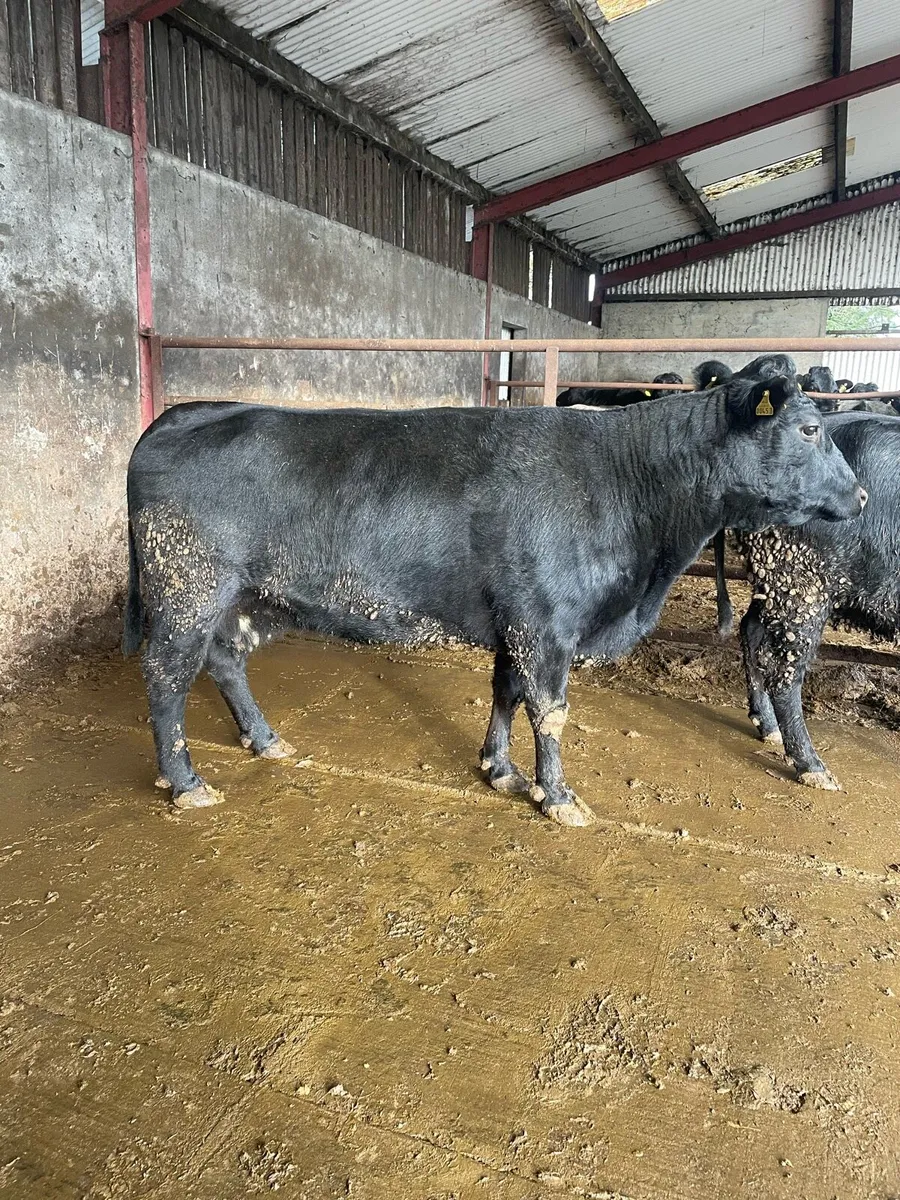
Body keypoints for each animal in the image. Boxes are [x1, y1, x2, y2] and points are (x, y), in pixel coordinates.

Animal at [124, 379, 864, 825]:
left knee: (225, 661)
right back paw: (185, 782)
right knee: (166, 678)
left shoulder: (519, 620)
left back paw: (266, 739)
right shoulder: (545, 625)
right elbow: (550, 711)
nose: (859, 496)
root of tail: (183, 412)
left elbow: (507, 693)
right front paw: (558, 797)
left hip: (243, 598)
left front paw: (500, 769)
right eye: (808, 430)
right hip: (186, 588)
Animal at [713, 412, 900, 791]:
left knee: (752, 632)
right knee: (785, 673)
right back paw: (816, 771)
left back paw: (767, 730)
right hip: (804, 585)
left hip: (773, 580)